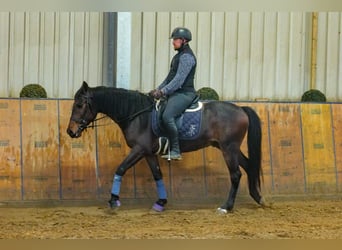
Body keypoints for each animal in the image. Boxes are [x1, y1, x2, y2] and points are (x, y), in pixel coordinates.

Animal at [67, 81, 264, 213]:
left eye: (79, 105)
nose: (70, 131)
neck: (138, 115)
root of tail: (241, 109)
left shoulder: (139, 149)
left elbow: (121, 168)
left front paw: (113, 200)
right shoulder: (148, 153)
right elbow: (157, 175)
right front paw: (160, 202)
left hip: (228, 148)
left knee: (236, 174)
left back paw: (226, 207)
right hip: (228, 148)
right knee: (249, 166)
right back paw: (258, 197)